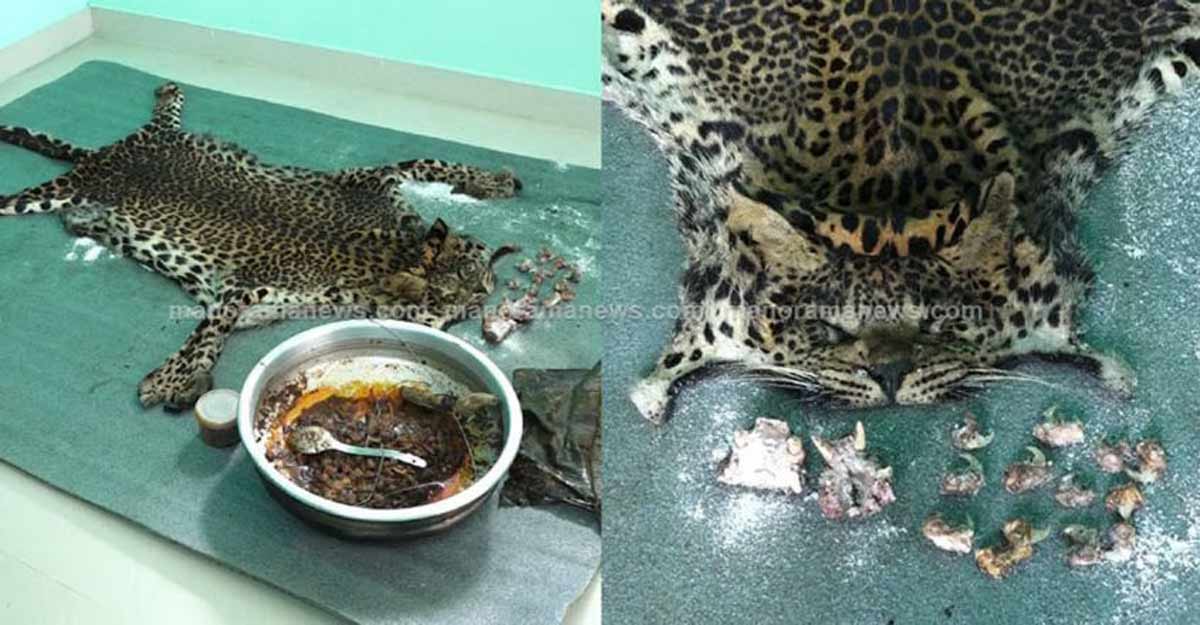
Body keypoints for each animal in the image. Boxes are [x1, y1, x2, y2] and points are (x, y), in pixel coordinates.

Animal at [0, 82, 522, 411]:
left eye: (479, 283)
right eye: (457, 290)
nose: (483, 295)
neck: (390, 254)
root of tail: (99, 160)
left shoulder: (252, 302)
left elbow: (439, 164)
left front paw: (491, 182)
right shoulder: (372, 181)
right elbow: (207, 331)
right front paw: (170, 379)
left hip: (142, 153)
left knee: (159, 123)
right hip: (55, 190)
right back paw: (164, 92)